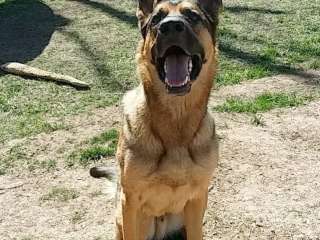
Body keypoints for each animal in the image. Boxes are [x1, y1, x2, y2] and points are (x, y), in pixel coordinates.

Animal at [90, 0, 220, 240]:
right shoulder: (130, 202)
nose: (170, 27)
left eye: (192, 16)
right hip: (126, 217)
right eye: (156, 20)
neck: (176, 121)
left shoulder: (198, 198)